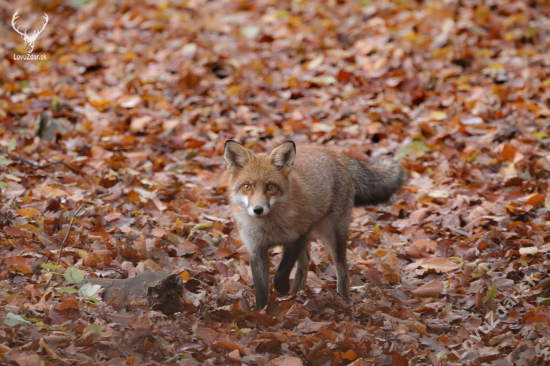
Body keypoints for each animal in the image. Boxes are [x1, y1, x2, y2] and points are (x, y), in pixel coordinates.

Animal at [223, 139, 406, 308]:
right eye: (247, 186)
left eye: (271, 187)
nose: (258, 209)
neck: (269, 227)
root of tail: (336, 154)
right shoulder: (256, 248)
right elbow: (260, 290)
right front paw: (260, 312)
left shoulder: (298, 235)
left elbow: (280, 273)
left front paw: (282, 289)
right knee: (305, 263)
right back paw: (296, 294)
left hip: (333, 236)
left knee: (343, 271)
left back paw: (343, 299)